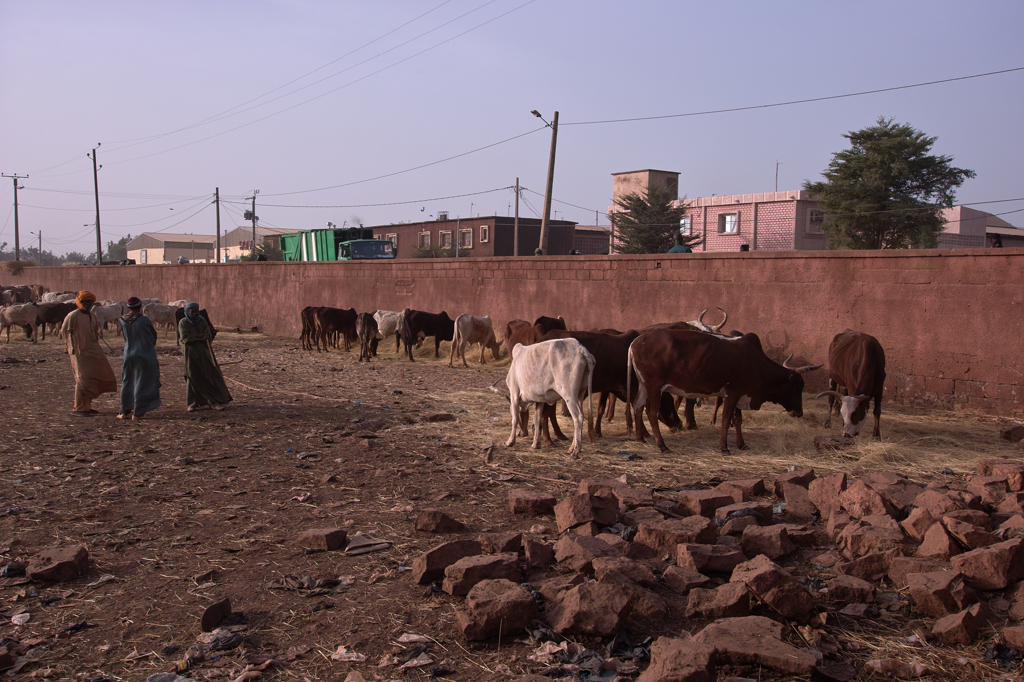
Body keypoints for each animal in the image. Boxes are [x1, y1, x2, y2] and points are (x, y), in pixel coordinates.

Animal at [622, 327, 823, 450]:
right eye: (797, 386)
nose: (799, 412)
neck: (756, 362)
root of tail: (637, 341)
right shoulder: (733, 393)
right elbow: (726, 420)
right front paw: (724, 447)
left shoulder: (740, 394)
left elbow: (738, 420)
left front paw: (742, 444)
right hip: (654, 386)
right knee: (651, 412)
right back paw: (662, 445)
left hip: (643, 386)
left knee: (637, 407)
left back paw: (640, 438)